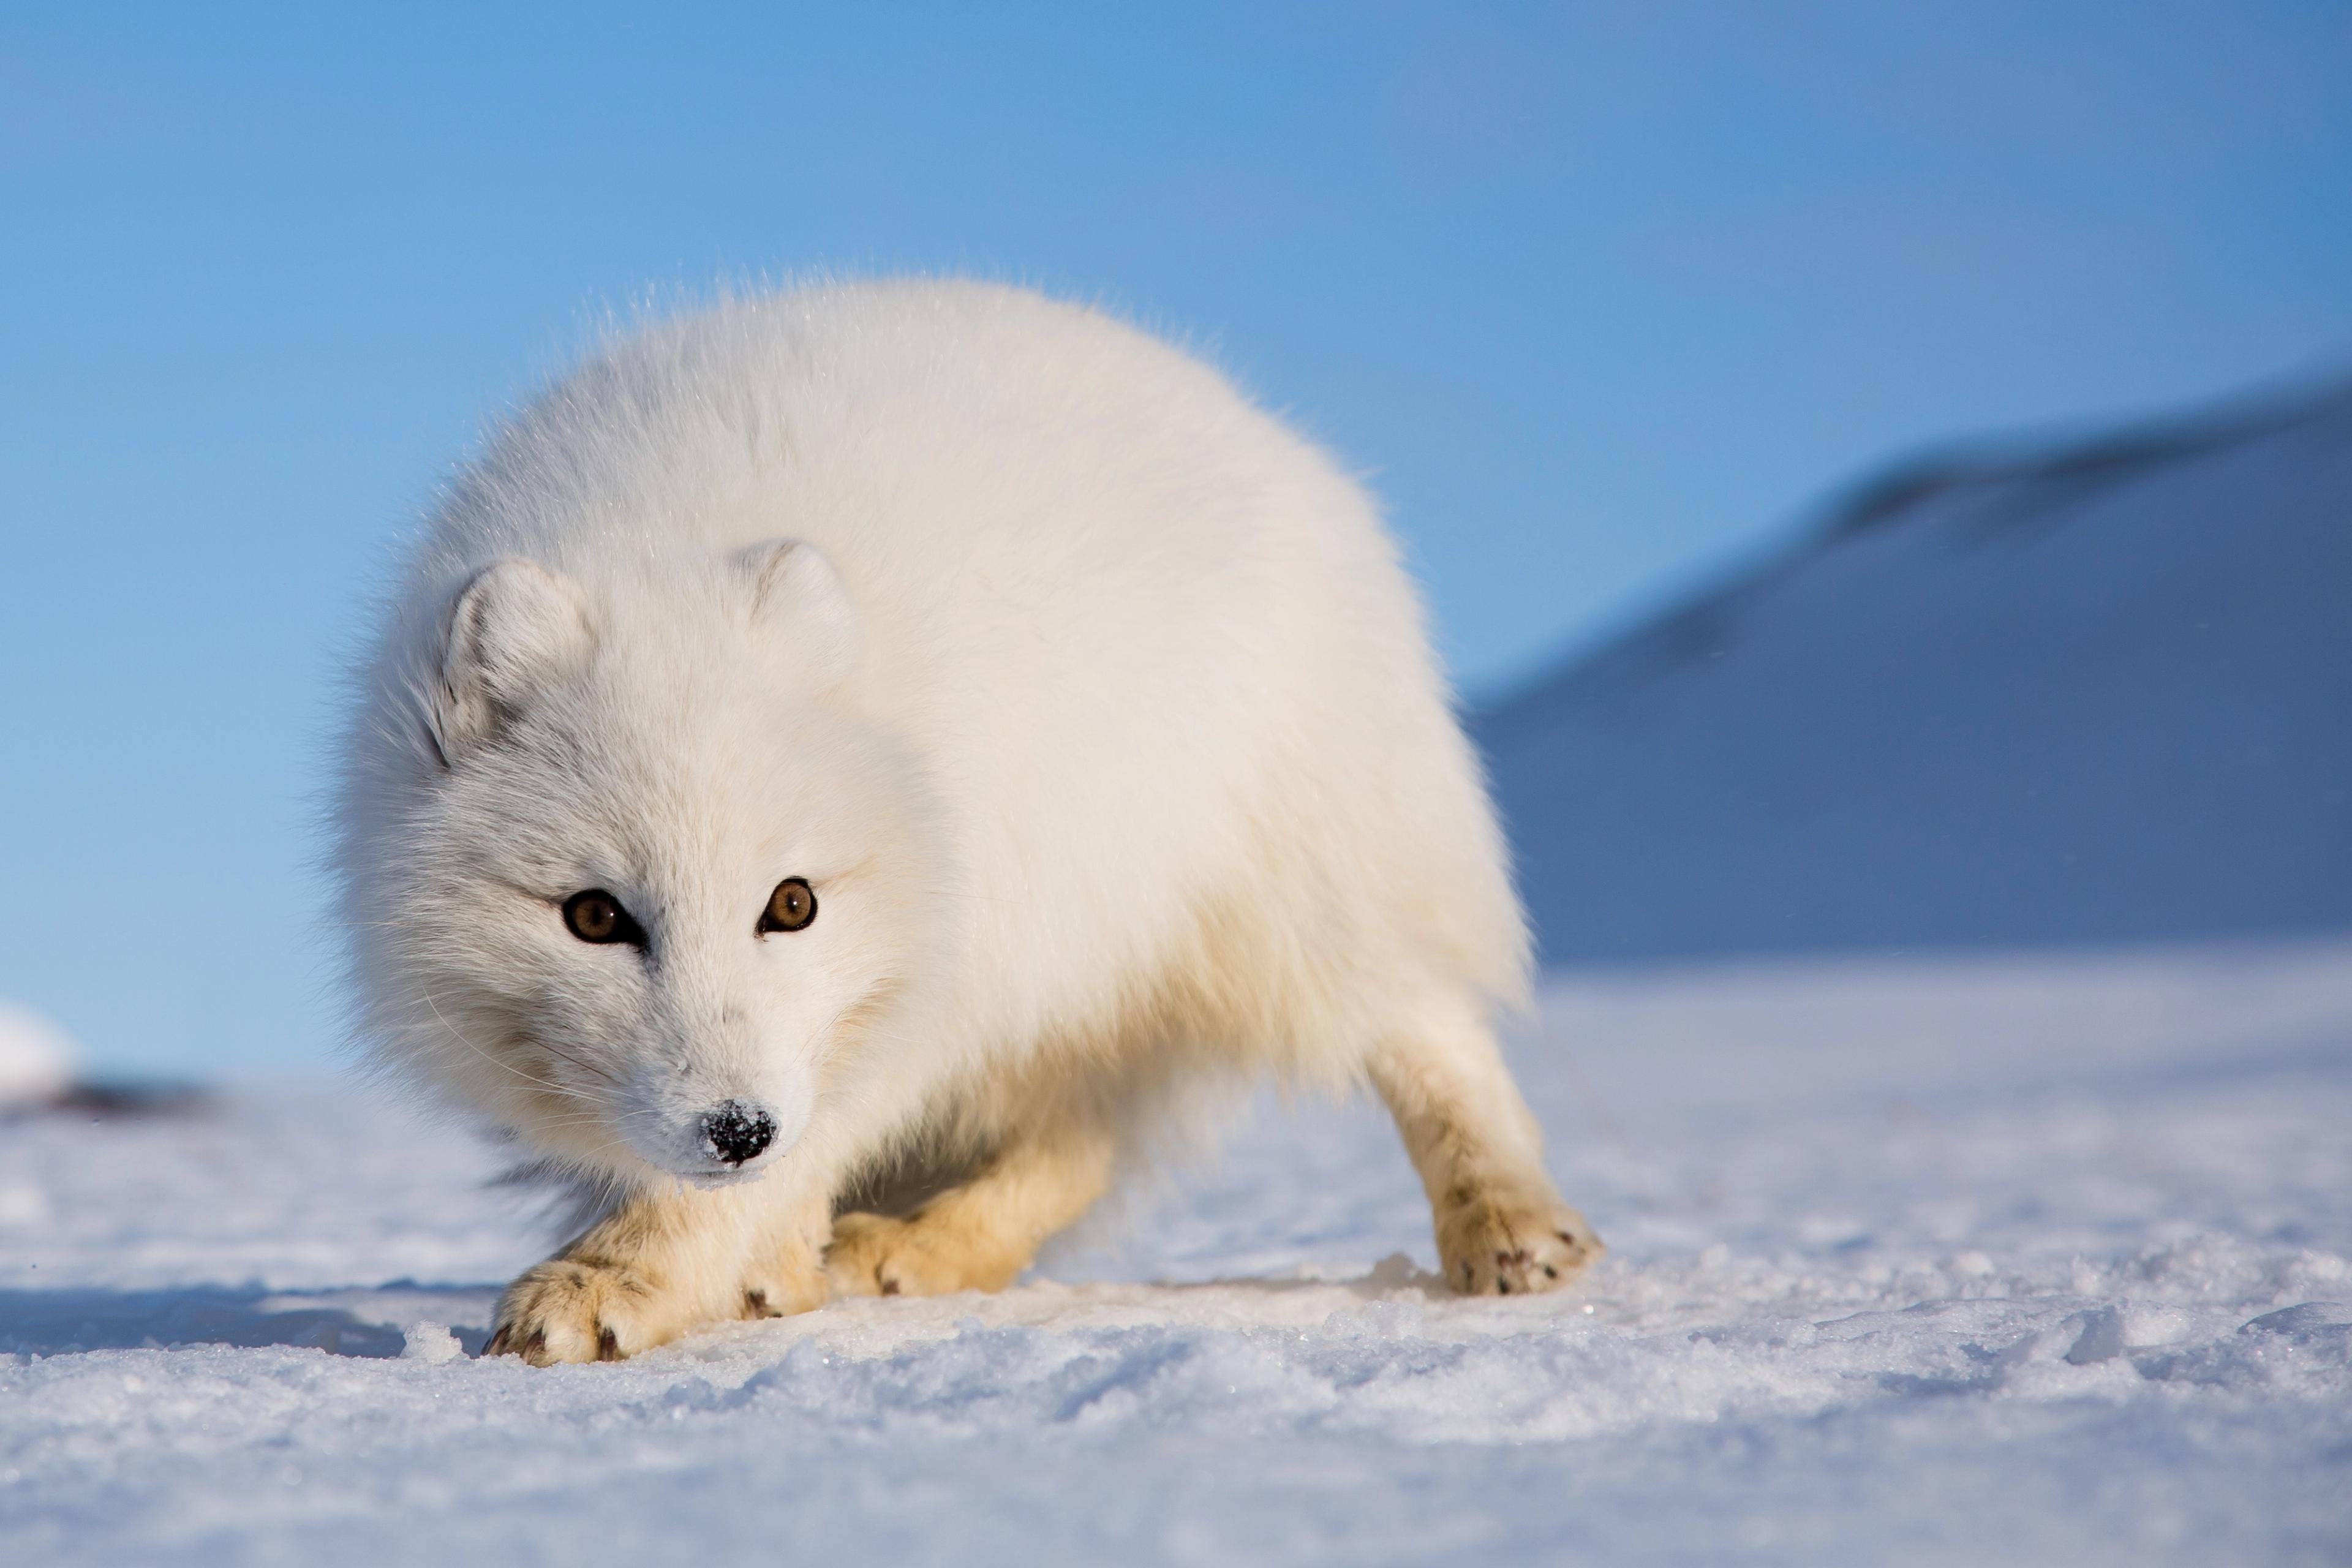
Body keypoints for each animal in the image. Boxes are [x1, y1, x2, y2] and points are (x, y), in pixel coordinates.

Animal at [333, 278, 1598, 1364]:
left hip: (1283, 883)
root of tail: (1271, 434)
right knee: (1087, 1135)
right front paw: (750, 1271)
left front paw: (614, 1283)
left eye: (791, 903)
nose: (736, 1127)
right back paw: (910, 1249)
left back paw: (1511, 1228)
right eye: (594, 918)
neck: (659, 548)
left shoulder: (916, 989)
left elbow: (782, 1159)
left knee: (1427, 1026)